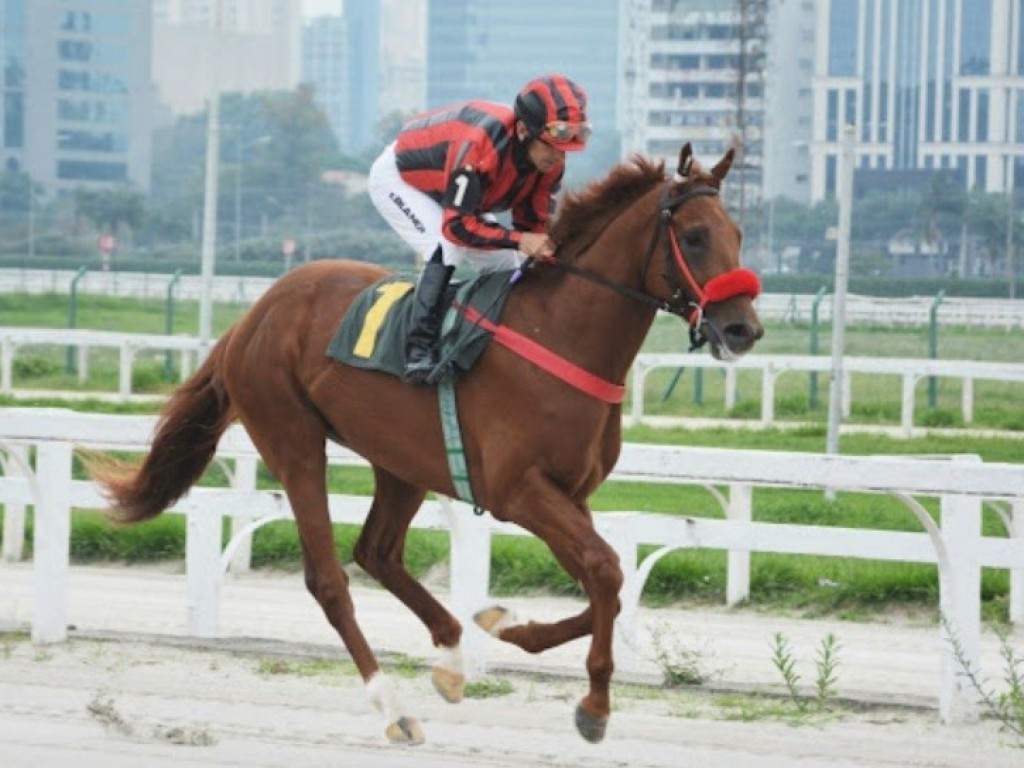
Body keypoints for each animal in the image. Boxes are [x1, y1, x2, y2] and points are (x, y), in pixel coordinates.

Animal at [92, 143, 761, 745]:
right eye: (695, 237)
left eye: (739, 233)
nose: (743, 329)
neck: (559, 333)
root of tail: (254, 315)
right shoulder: (518, 490)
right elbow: (604, 570)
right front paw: (594, 706)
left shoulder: (571, 492)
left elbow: (608, 586)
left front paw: (509, 625)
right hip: (293, 439)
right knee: (330, 580)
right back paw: (393, 708)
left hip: (401, 460)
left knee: (377, 552)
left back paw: (454, 658)